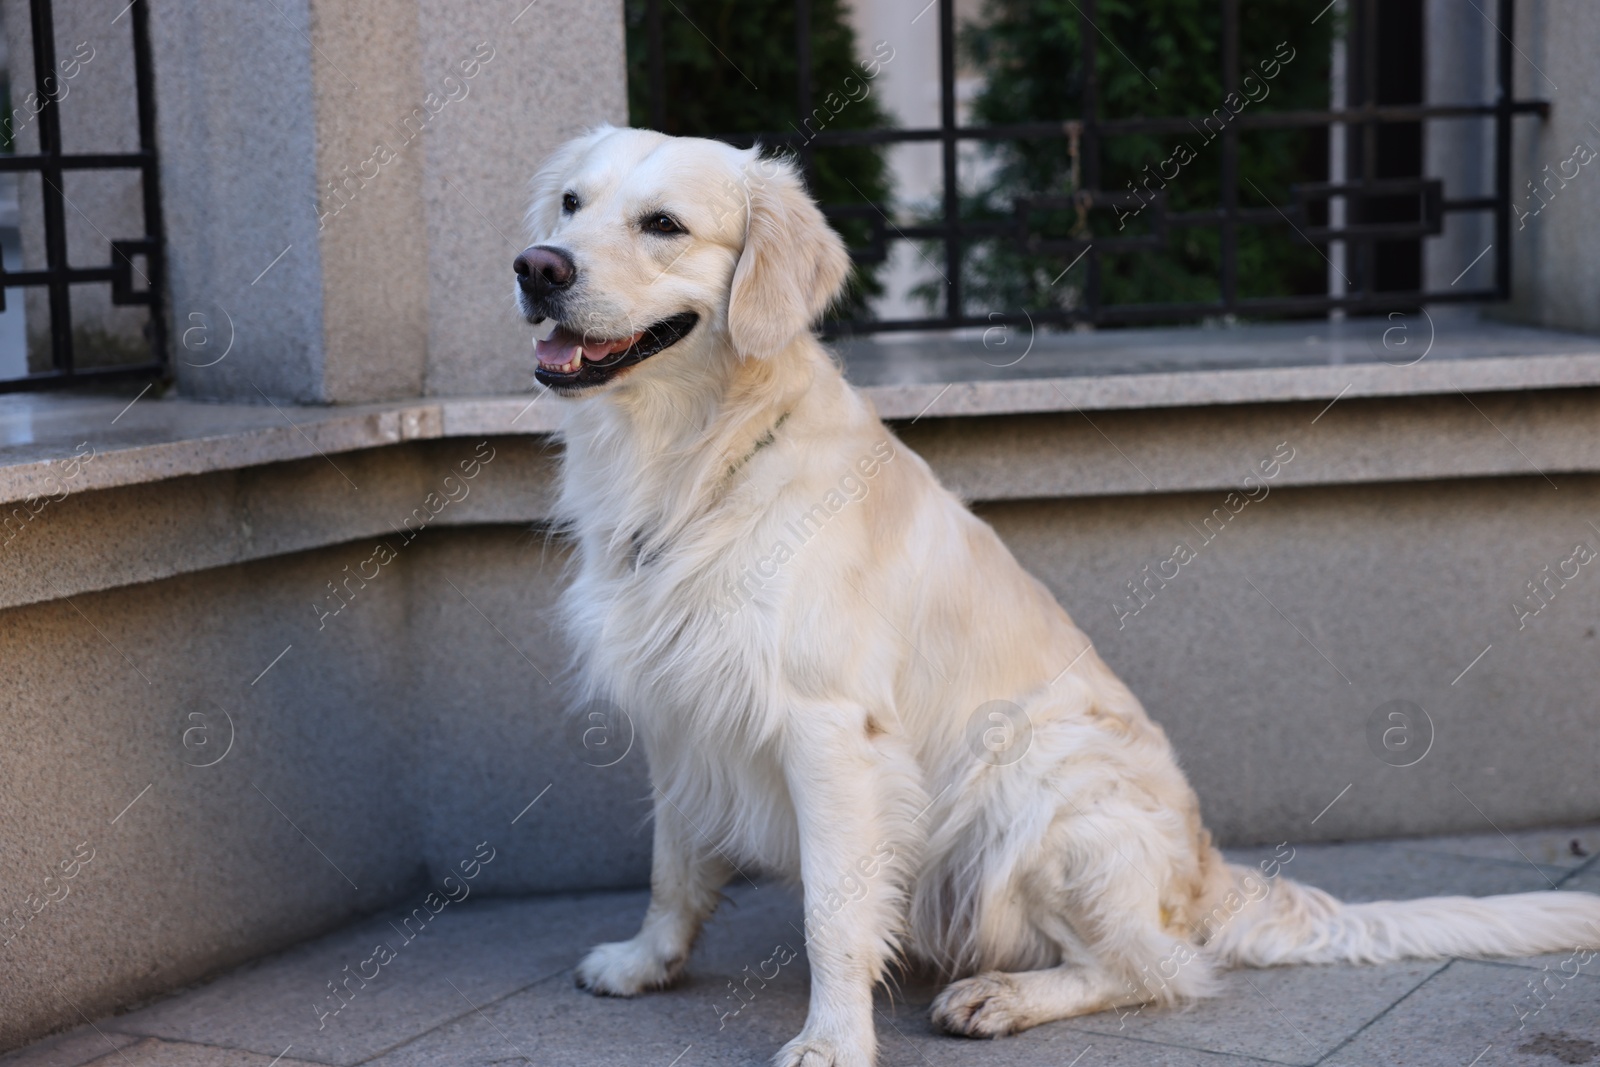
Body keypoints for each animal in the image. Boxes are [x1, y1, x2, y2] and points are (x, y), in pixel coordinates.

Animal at [515, 125, 1600, 1067]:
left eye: (664, 224)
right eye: (571, 203)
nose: (537, 267)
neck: (701, 456)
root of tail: (1203, 873)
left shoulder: (829, 730)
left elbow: (831, 911)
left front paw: (833, 1039)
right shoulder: (679, 709)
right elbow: (673, 864)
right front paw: (645, 962)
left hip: (1034, 775)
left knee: (1157, 966)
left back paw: (1001, 995)